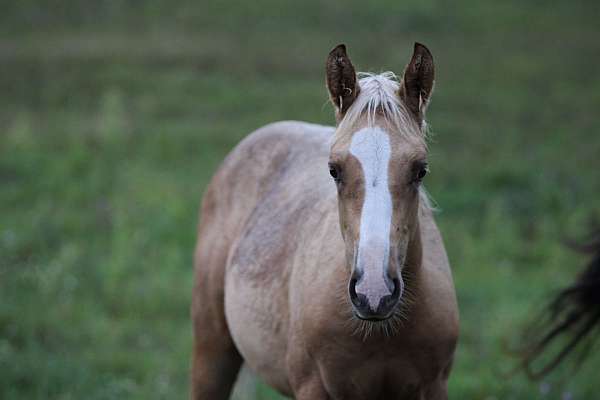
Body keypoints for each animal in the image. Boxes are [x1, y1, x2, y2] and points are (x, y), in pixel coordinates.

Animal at [192, 44, 460, 400]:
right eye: (334, 170)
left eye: (421, 170)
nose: (373, 291)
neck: (380, 335)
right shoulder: (313, 387)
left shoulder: (434, 385)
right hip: (212, 351)